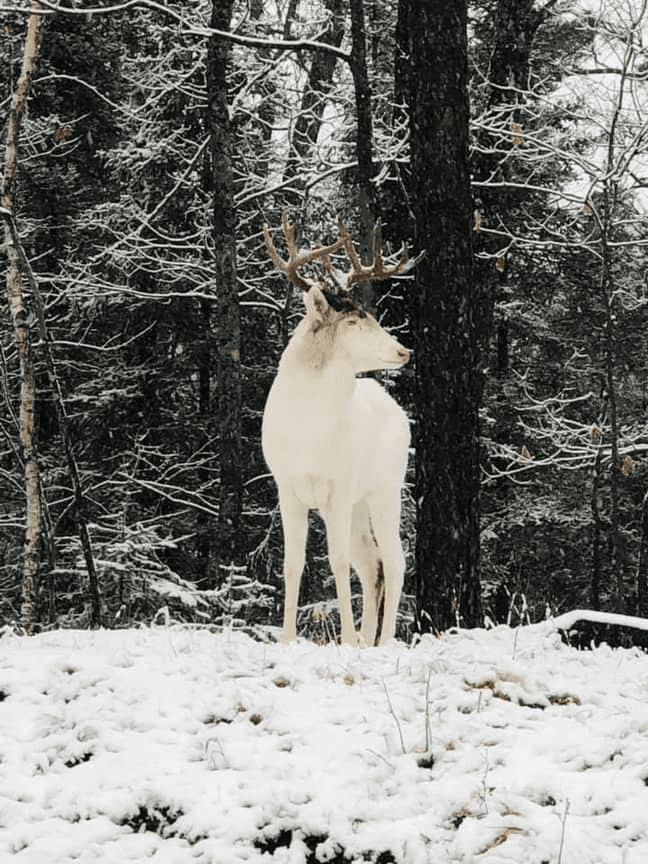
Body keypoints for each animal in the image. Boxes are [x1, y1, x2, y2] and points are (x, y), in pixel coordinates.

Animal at [262, 212, 422, 647]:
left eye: (371, 317)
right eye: (353, 320)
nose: (404, 350)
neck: (308, 434)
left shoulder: (339, 485)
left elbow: (336, 561)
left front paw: (347, 639)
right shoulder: (287, 487)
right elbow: (293, 563)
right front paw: (286, 639)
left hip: (385, 488)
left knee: (394, 560)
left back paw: (382, 640)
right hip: (360, 502)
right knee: (372, 563)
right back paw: (368, 640)